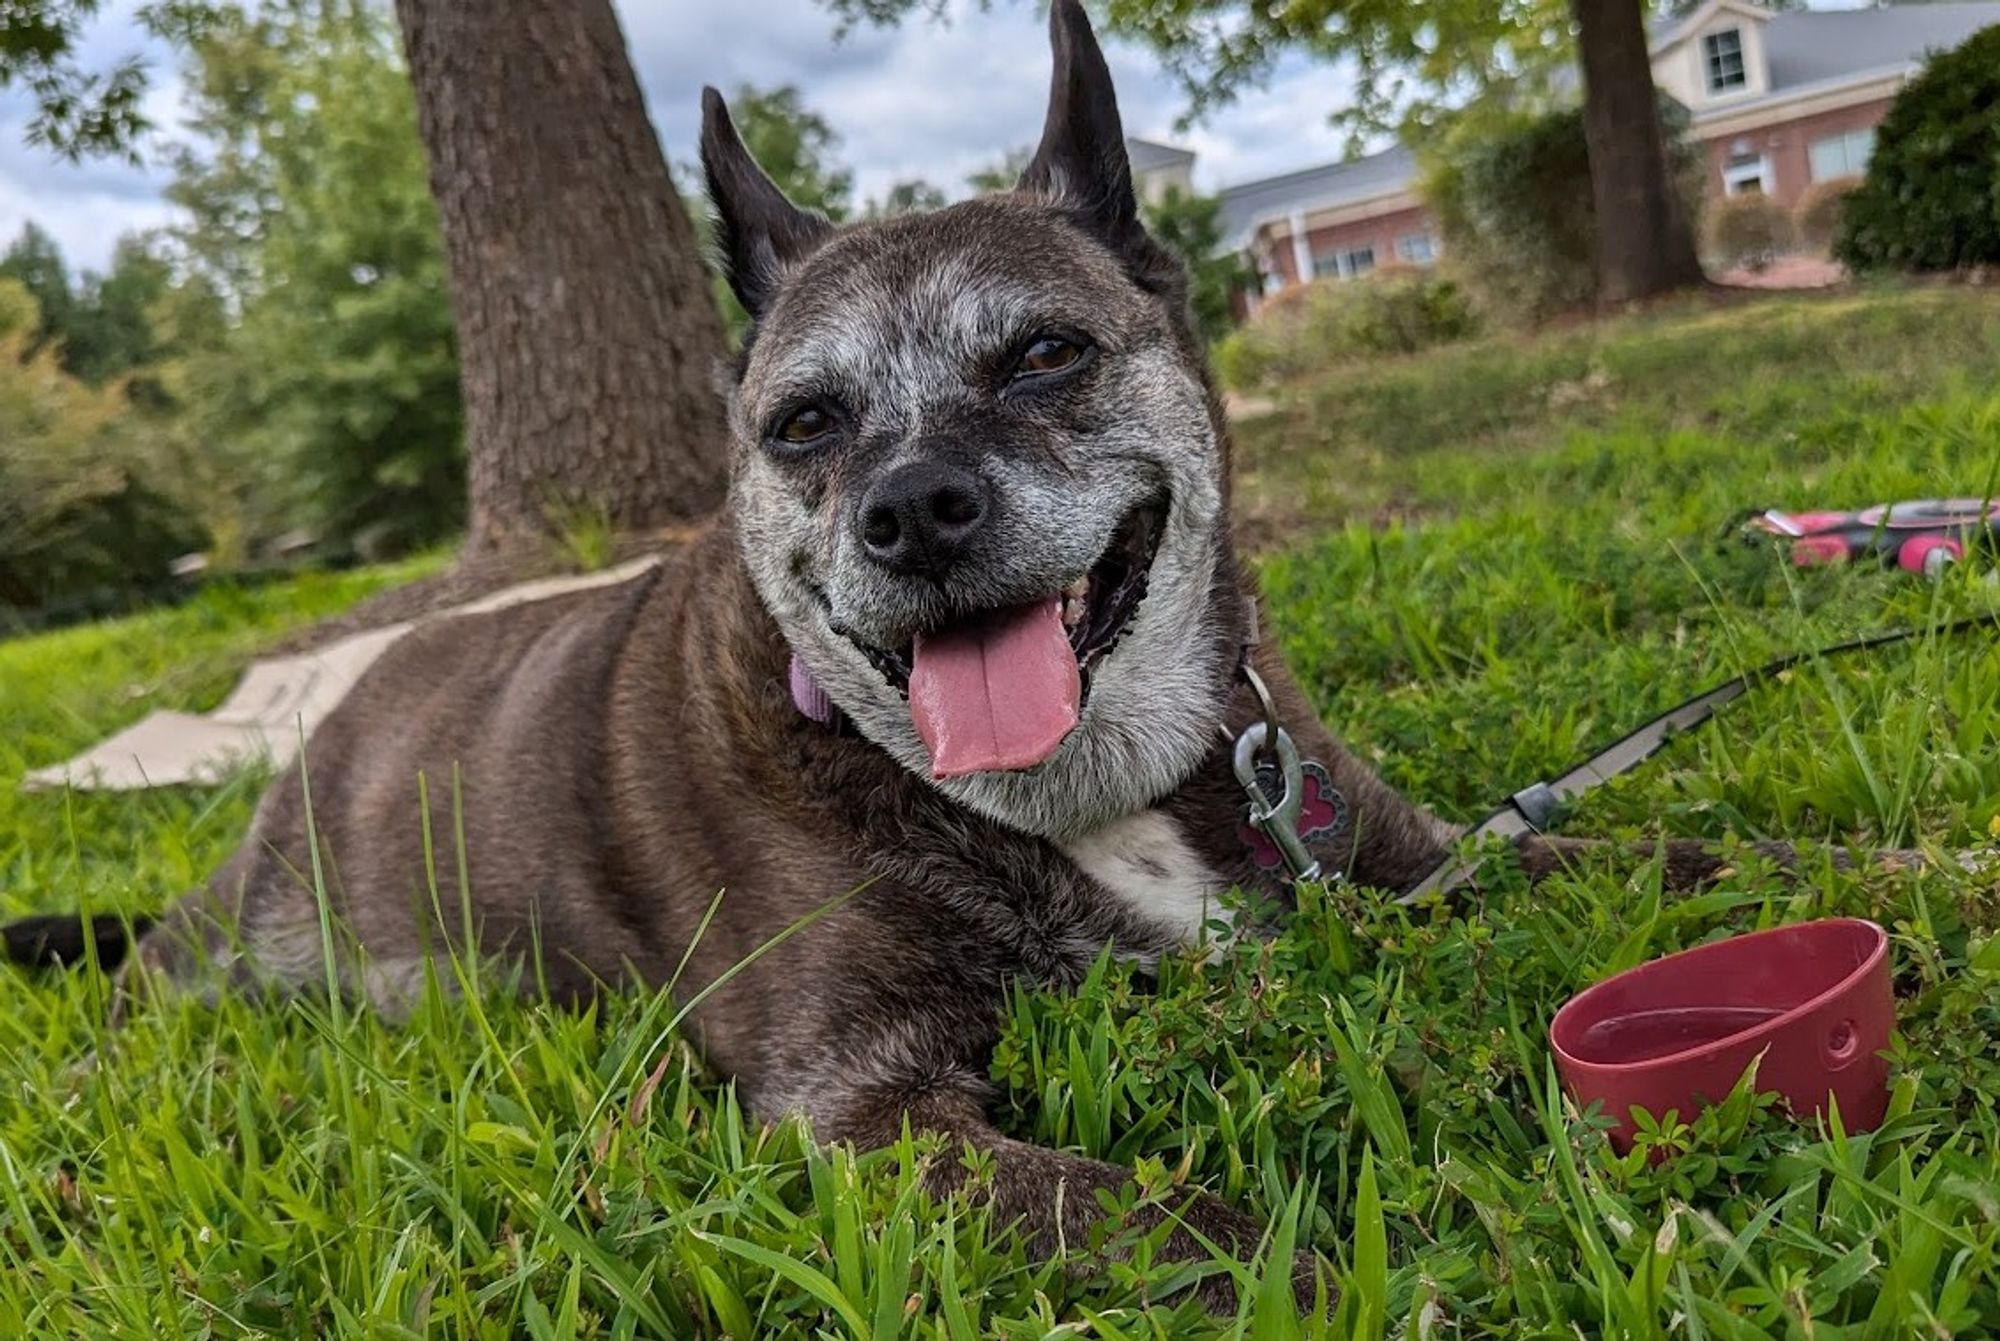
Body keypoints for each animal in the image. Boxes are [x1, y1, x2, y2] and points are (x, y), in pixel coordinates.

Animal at [3, 0, 1904, 1304]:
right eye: (806, 423)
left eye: (1047, 352)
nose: (913, 509)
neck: (1088, 794)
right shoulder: (862, 1112)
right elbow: (1138, 1205)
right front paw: (1375, 1257)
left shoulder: (1414, 863)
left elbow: (1686, 850)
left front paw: (1910, 867)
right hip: (228, 965)